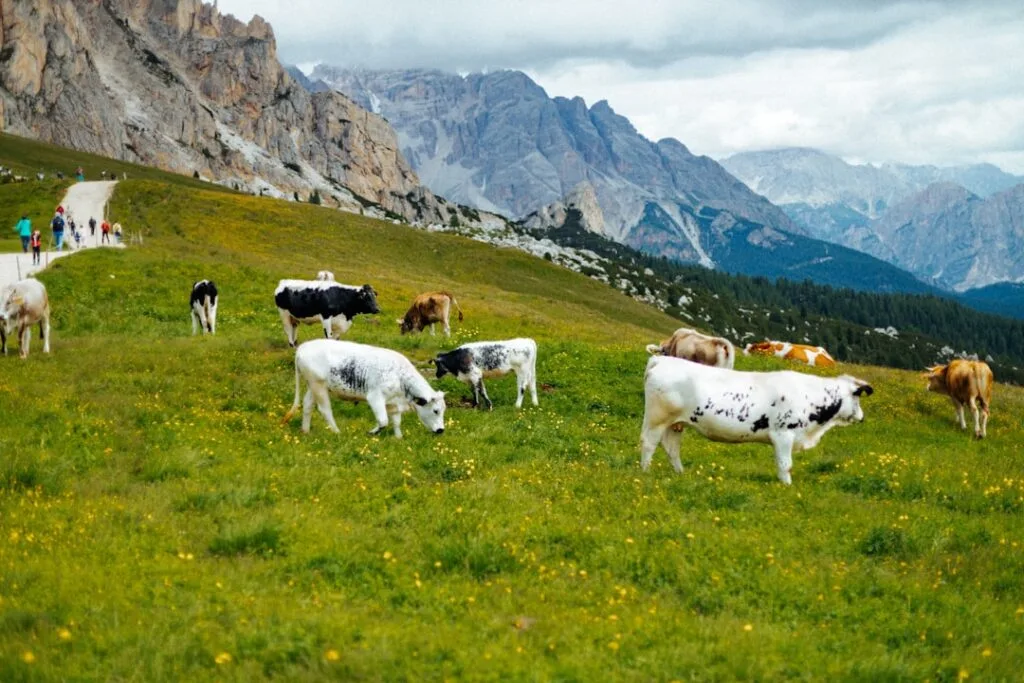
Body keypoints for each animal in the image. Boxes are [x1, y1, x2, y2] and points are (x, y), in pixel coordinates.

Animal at [282, 339, 446, 438]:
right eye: (435, 410)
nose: (441, 430)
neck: (400, 376)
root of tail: (302, 348)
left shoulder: (393, 403)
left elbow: (396, 422)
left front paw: (398, 438)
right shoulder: (375, 397)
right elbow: (383, 421)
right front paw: (372, 432)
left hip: (313, 386)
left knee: (307, 405)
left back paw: (305, 431)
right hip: (319, 386)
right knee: (325, 410)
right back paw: (337, 432)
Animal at [639, 356, 873, 484]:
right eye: (858, 397)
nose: (862, 417)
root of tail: (661, 359)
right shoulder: (783, 434)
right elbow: (785, 464)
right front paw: (786, 486)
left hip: (675, 423)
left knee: (671, 448)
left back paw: (680, 473)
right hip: (657, 418)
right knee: (649, 443)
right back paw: (645, 472)